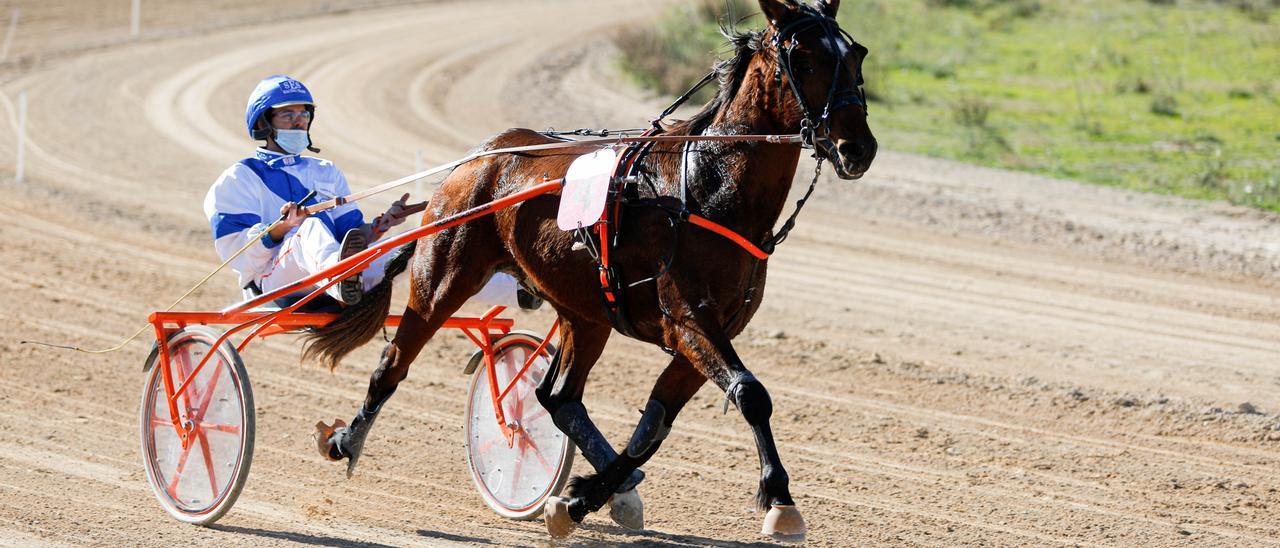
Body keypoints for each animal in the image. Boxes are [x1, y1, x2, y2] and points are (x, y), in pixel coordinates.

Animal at [305, 0, 875, 540]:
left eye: (855, 56)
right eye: (804, 58)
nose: (859, 148)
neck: (704, 187)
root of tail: (480, 156)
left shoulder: (711, 332)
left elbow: (655, 426)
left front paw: (579, 500)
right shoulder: (689, 322)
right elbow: (750, 394)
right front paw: (780, 500)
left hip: (584, 311)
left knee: (557, 398)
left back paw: (612, 487)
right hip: (444, 275)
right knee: (394, 362)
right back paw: (345, 440)